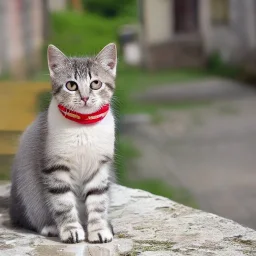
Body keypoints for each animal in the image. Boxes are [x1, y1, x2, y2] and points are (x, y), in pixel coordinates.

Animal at [9, 43, 117, 243]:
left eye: (95, 83)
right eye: (71, 85)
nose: (84, 97)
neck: (83, 126)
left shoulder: (100, 167)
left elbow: (98, 200)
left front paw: (98, 229)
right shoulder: (55, 166)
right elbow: (63, 202)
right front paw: (71, 230)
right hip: (27, 185)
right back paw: (49, 226)